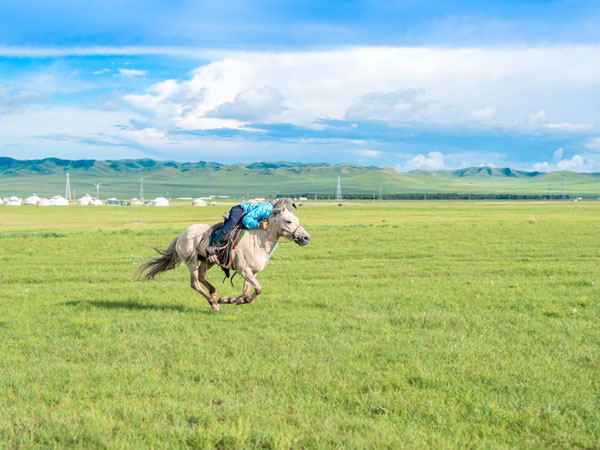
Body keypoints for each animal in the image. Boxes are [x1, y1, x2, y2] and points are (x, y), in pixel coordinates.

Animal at [135, 199, 310, 312]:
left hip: (207, 261)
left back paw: (214, 295)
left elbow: (247, 290)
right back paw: (214, 303)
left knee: (201, 277)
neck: (259, 240)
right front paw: (230, 300)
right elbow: (257, 289)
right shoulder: (243, 270)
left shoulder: (251, 272)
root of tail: (181, 235)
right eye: (288, 221)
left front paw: (230, 299)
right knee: (195, 283)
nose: (306, 238)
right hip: (191, 261)